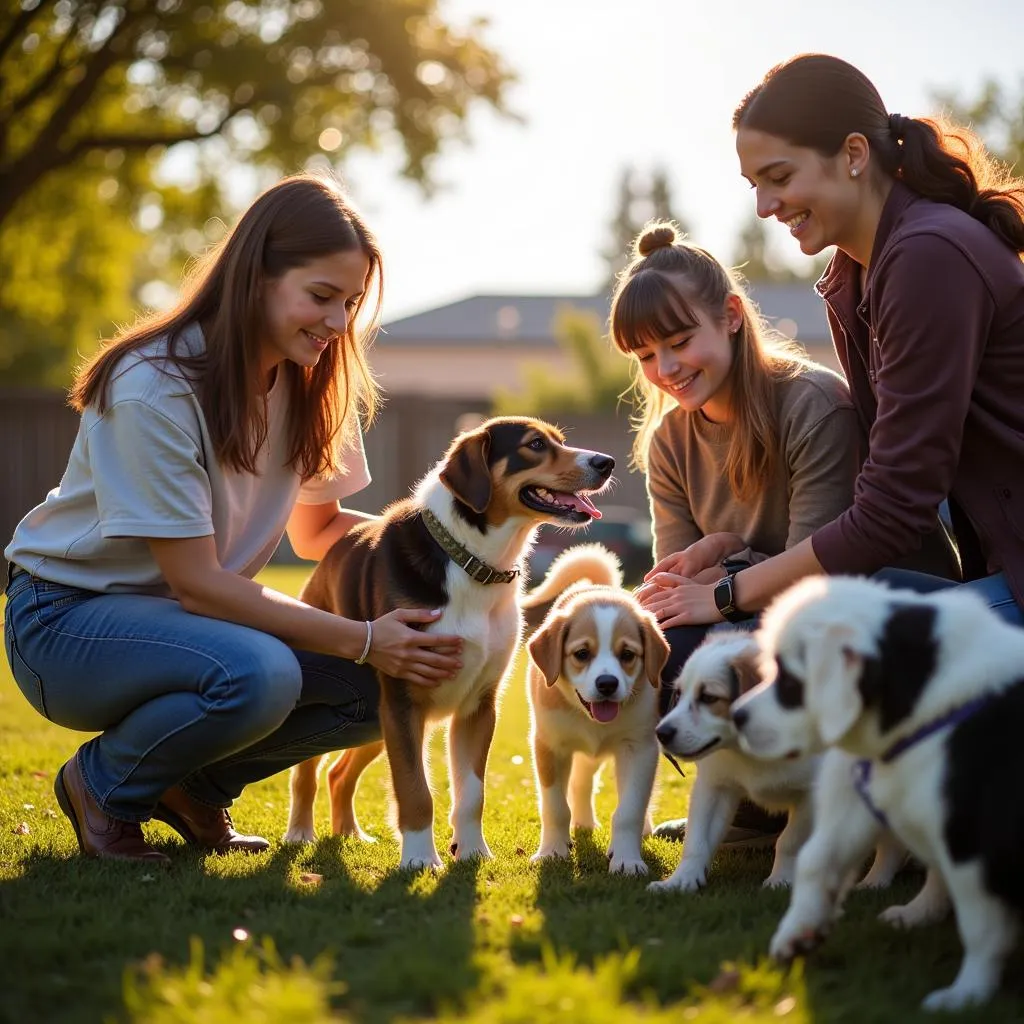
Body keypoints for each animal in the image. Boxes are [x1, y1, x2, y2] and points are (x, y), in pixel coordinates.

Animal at [284, 415, 610, 872]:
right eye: (534, 444)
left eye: (559, 440)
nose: (606, 463)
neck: (473, 565)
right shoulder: (403, 703)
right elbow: (415, 791)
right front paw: (420, 859)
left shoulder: (477, 707)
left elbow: (471, 794)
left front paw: (471, 851)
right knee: (307, 773)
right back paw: (300, 833)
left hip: (375, 725)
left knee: (339, 774)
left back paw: (348, 832)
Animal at [524, 544, 667, 872]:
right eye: (581, 653)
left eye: (627, 655)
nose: (607, 684)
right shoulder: (549, 746)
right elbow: (554, 807)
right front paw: (552, 851)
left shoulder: (639, 748)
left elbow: (629, 809)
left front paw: (627, 859)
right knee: (580, 783)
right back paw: (583, 824)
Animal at [647, 634, 815, 892]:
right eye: (679, 694)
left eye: (708, 697)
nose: (661, 734)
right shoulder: (714, 785)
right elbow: (697, 840)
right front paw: (682, 879)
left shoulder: (812, 793)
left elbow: (790, 840)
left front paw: (781, 879)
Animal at [733, 581, 1024, 1011]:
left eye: (789, 683)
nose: (737, 716)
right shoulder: (873, 796)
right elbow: (817, 858)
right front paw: (799, 931)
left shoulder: (966, 833)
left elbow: (980, 924)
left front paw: (967, 992)